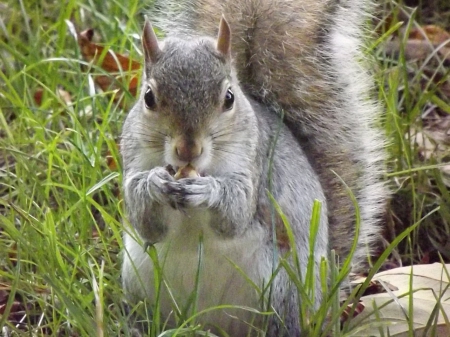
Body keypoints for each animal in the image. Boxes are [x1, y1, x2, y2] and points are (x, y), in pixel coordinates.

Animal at [119, 0, 386, 334]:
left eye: (229, 97)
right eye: (148, 97)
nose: (187, 150)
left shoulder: (253, 163)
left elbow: (235, 212)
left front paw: (208, 191)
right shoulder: (132, 158)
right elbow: (145, 221)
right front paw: (153, 183)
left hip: (281, 292)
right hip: (139, 284)